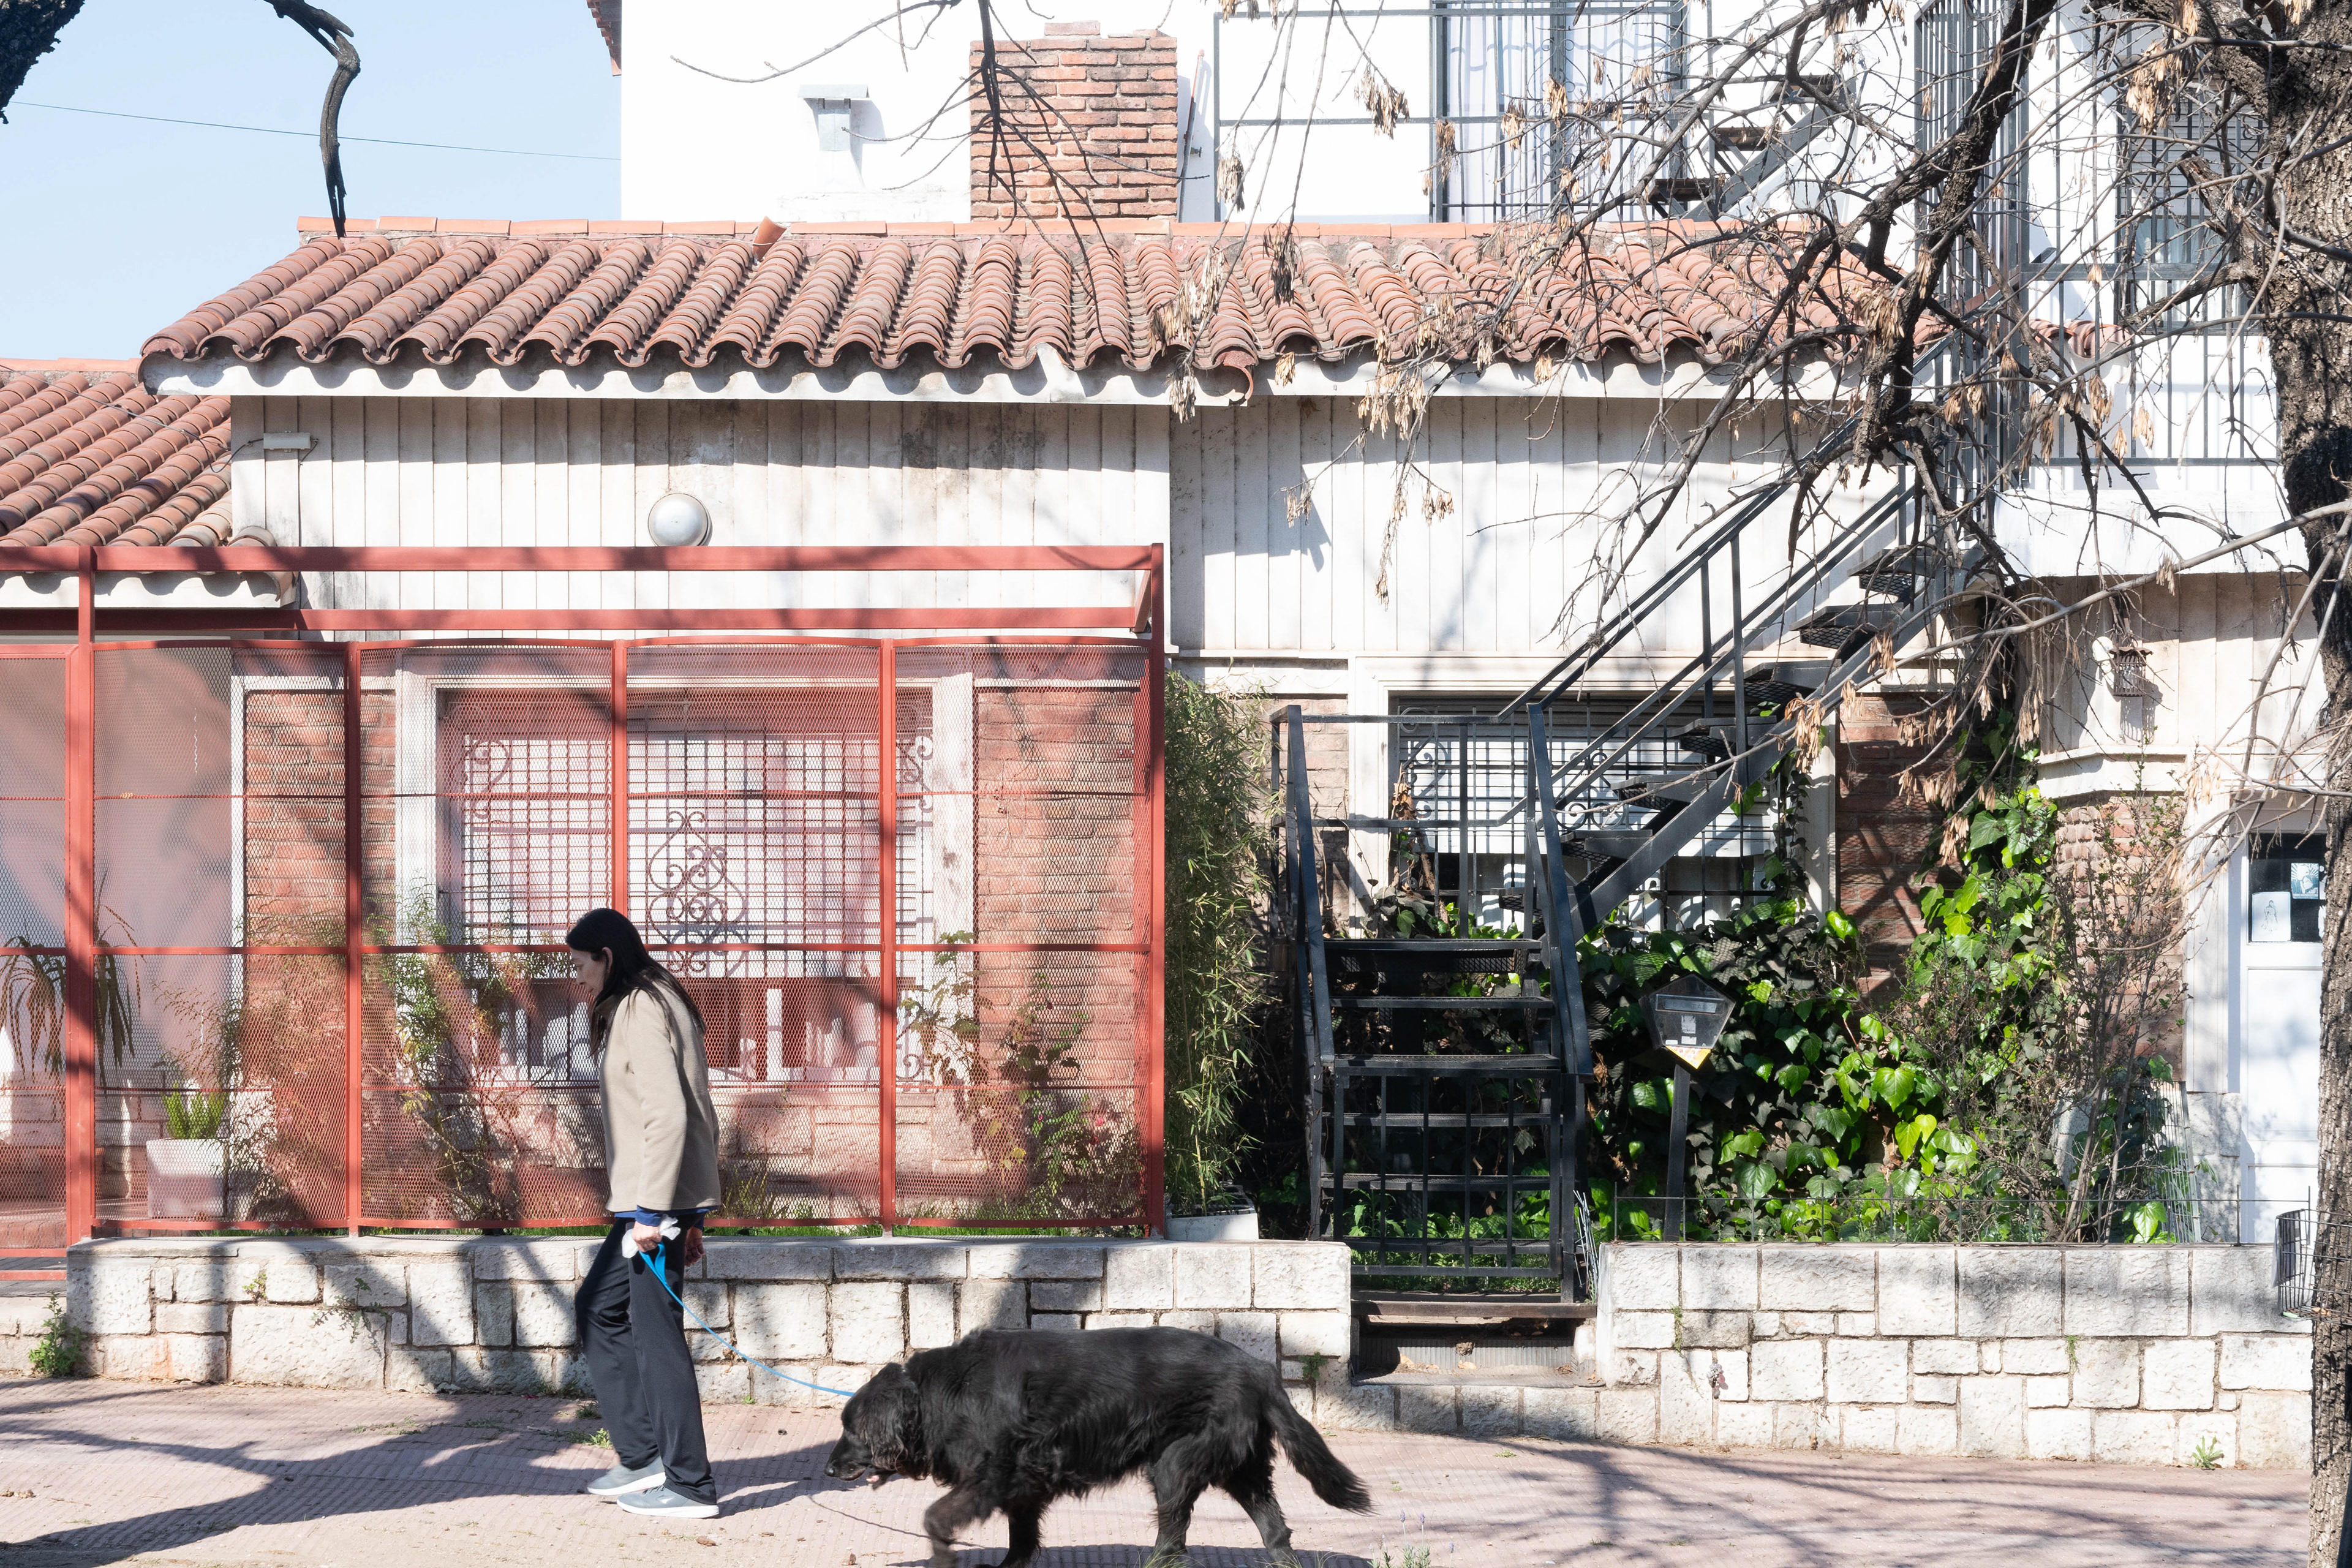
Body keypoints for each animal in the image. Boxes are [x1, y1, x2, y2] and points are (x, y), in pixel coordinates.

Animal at [824, 1326, 1373, 1568]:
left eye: (849, 1430)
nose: (827, 1471)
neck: (939, 1394)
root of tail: (1261, 1370)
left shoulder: (994, 1473)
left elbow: (936, 1517)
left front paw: (942, 1555)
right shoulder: (1025, 1484)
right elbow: (1021, 1539)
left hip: (1175, 1461)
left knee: (1173, 1535)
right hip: (1240, 1464)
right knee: (1274, 1528)